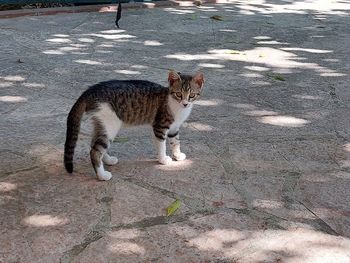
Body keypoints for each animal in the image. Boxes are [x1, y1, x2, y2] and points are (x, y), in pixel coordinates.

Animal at [64, 70, 204, 182]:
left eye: (191, 95)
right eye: (179, 94)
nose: (185, 104)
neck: (176, 107)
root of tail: (90, 90)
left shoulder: (174, 128)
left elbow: (175, 142)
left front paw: (177, 155)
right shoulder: (160, 126)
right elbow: (162, 145)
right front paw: (163, 159)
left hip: (101, 123)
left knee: (94, 143)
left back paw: (108, 160)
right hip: (110, 124)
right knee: (95, 151)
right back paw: (102, 175)